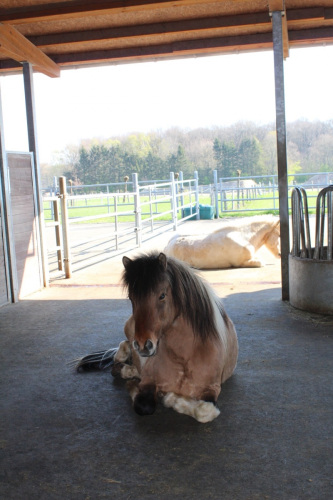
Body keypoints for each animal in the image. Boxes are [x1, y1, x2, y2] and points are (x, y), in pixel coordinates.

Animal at [76, 254, 236, 422]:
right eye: (131, 298)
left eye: (162, 295)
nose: (142, 345)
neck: (184, 358)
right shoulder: (149, 382)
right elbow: (144, 406)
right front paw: (140, 387)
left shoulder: (211, 389)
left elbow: (204, 411)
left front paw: (171, 398)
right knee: (122, 349)